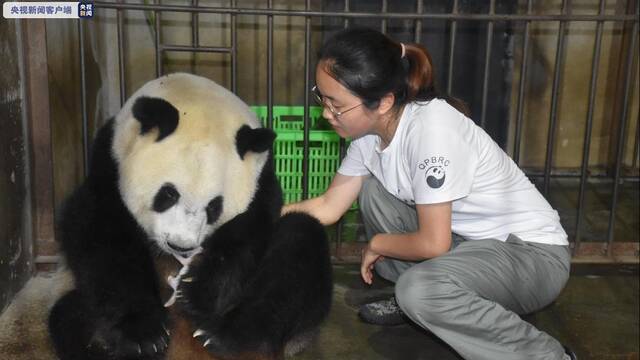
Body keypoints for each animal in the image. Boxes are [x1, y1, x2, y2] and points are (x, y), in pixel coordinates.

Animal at [47, 73, 332, 360]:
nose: (180, 246)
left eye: (214, 206)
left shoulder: (261, 184)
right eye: (168, 194)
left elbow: (246, 237)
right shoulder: (109, 164)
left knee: (298, 244)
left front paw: (195, 288)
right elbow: (101, 236)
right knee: (70, 317)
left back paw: (224, 337)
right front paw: (144, 335)